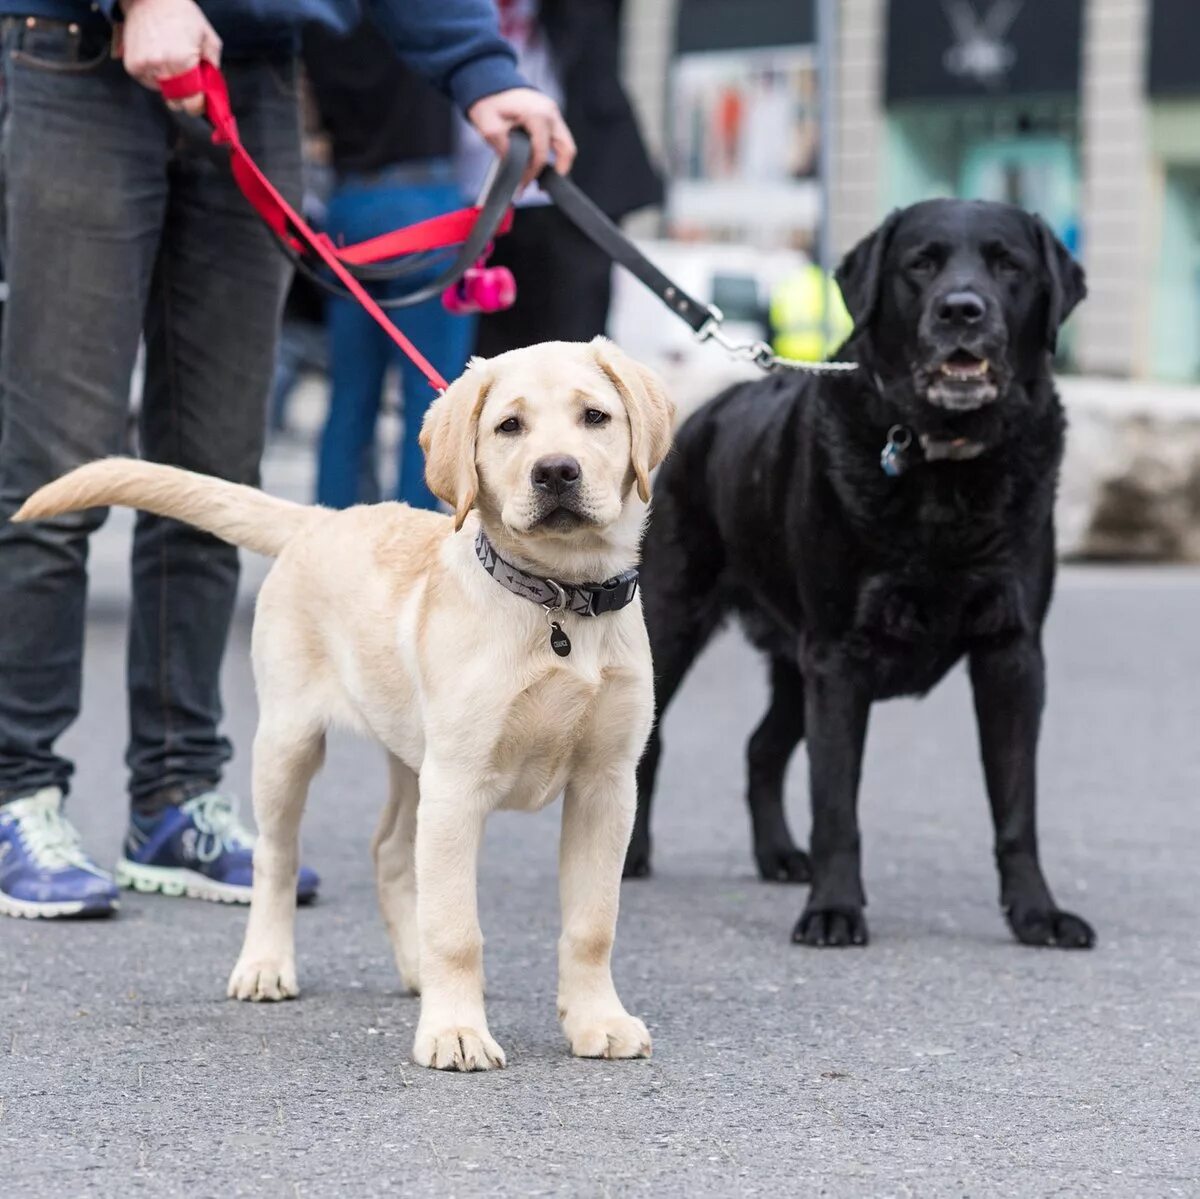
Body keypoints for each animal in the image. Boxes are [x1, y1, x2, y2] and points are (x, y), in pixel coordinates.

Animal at [14, 336, 676, 1070]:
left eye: (595, 417)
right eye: (510, 426)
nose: (556, 471)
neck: (559, 602)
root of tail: (322, 517)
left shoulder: (606, 786)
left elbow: (592, 922)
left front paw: (596, 1021)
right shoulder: (459, 785)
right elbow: (457, 927)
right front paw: (456, 1031)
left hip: (412, 759)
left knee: (389, 851)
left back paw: (415, 971)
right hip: (290, 744)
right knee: (277, 859)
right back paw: (266, 965)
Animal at [638, 196, 1099, 950]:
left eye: (1008, 264)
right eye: (921, 264)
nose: (962, 310)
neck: (944, 467)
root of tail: (700, 416)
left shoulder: (1013, 653)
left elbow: (1016, 804)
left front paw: (1038, 913)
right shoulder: (839, 656)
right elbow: (836, 803)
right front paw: (833, 911)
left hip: (792, 663)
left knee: (761, 749)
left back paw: (778, 856)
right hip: (670, 623)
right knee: (648, 744)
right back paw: (631, 856)